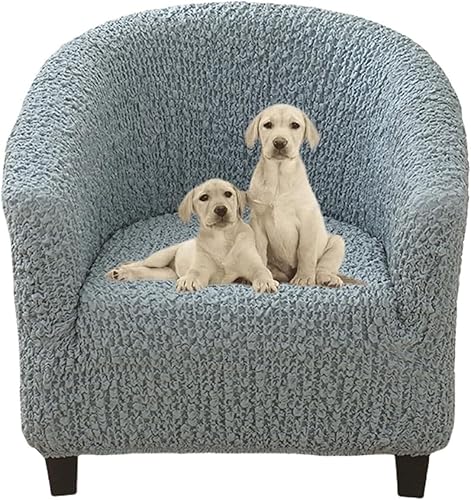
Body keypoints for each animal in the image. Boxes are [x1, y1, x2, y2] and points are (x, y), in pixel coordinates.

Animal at [107, 179, 279, 293]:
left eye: (228, 194)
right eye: (204, 198)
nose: (221, 209)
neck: (222, 236)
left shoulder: (254, 264)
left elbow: (262, 271)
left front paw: (266, 282)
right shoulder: (201, 267)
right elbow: (194, 272)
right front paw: (188, 281)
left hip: (166, 274)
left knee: (145, 272)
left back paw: (122, 274)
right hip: (160, 256)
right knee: (141, 263)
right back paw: (120, 270)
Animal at [245, 103, 359, 287]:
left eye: (295, 125)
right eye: (268, 125)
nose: (279, 142)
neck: (279, 176)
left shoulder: (308, 221)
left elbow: (305, 251)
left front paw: (304, 277)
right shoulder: (258, 223)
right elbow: (259, 252)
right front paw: (263, 277)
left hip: (336, 242)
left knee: (323, 266)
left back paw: (327, 278)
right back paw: (275, 274)